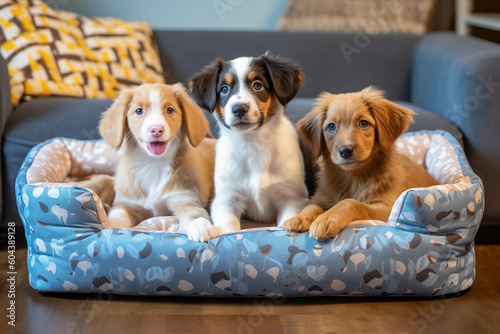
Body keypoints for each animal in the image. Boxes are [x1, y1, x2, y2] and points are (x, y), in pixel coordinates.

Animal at [99, 82, 217, 241]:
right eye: (139, 111)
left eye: (170, 110)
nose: (156, 130)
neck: (154, 165)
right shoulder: (127, 203)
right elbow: (117, 216)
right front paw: (107, 223)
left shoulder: (184, 197)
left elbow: (195, 213)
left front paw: (200, 225)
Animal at [188, 52, 308, 235]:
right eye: (224, 89)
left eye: (257, 85)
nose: (238, 109)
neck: (253, 142)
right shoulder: (226, 200)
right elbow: (229, 230)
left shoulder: (291, 197)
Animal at [284, 87, 436, 240]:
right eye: (331, 126)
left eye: (363, 123)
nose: (345, 150)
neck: (352, 177)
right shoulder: (322, 197)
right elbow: (313, 206)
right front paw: (299, 217)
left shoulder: (387, 209)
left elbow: (351, 202)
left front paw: (327, 218)